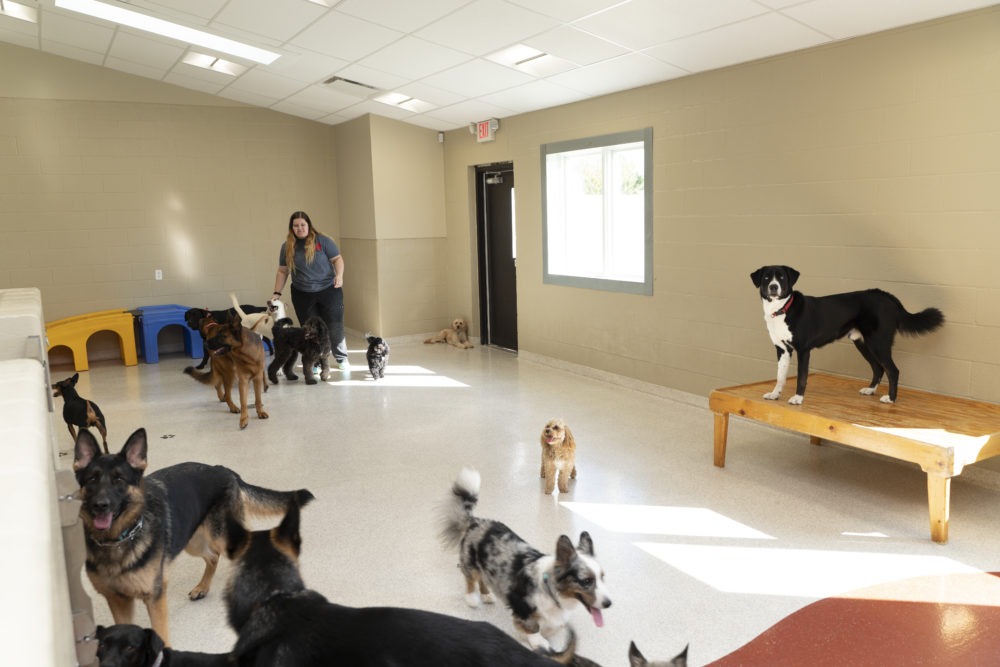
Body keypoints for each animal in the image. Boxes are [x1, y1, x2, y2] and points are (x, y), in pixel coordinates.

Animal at [73, 428, 312, 648]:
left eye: (119, 480)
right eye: (92, 479)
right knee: (213, 557)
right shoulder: (118, 600)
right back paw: (202, 587)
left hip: (220, 537)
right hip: (193, 542)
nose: (100, 505)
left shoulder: (155, 599)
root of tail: (223, 469)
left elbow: (161, 635)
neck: (117, 539)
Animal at [442, 470, 612, 652]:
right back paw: (472, 599)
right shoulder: (521, 605)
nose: (609, 603)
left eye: (602, 577)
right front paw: (539, 642)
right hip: (470, 562)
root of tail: (475, 521)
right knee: (471, 578)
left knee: (482, 577)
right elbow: (532, 627)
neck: (551, 589)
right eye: (586, 581)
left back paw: (487, 595)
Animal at [752, 264, 944, 402]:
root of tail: (885, 295)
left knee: (892, 370)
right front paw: (775, 394)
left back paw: (891, 398)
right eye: (767, 277)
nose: (773, 287)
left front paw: (798, 398)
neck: (783, 309)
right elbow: (780, 376)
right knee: (878, 368)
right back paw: (870, 390)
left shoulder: (803, 350)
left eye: (782, 277)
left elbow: (802, 377)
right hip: (864, 343)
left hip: (878, 343)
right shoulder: (782, 350)